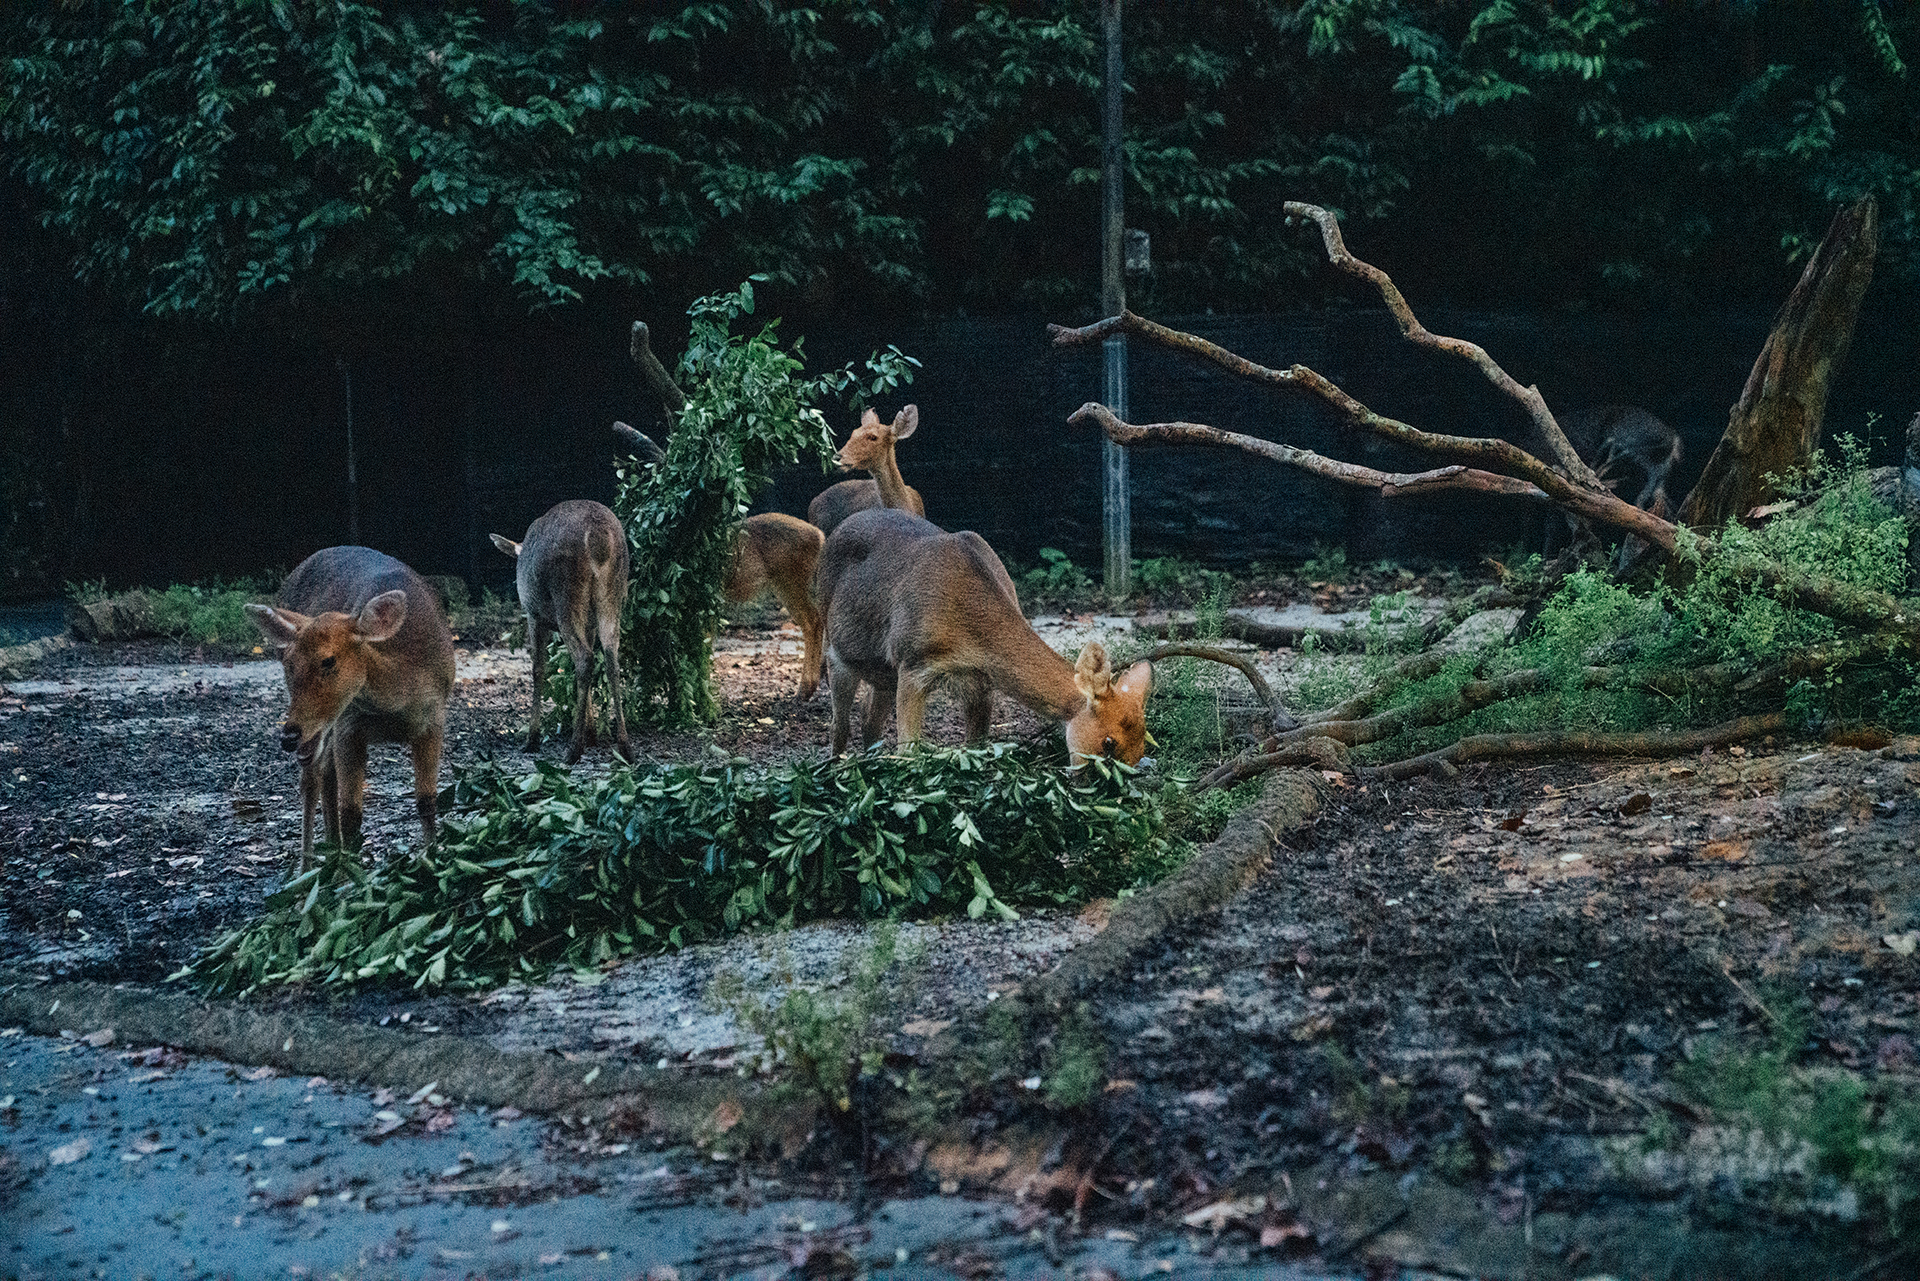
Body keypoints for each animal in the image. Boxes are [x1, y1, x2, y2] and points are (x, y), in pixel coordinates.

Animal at [245, 545, 455, 871]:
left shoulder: (434, 718)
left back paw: (331, 854)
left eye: (328, 660)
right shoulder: (349, 725)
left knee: (324, 773)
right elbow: (352, 813)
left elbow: (427, 800)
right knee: (312, 778)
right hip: (326, 727)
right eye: (290, 664)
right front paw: (352, 878)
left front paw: (433, 862)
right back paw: (307, 870)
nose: (289, 736)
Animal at [487, 499, 629, 760]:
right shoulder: (588, 622)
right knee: (609, 656)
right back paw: (624, 746)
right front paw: (591, 732)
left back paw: (573, 749)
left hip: (565, 591)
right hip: (613, 593)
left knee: (584, 658)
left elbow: (538, 669)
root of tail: (598, 535)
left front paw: (532, 739)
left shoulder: (534, 615)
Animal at [814, 507, 1144, 772]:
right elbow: (908, 750)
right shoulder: (912, 662)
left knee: (868, 721)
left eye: (1144, 743)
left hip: (881, 670)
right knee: (839, 726)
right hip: (834, 650)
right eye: (1109, 742)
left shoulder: (982, 682)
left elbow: (975, 747)